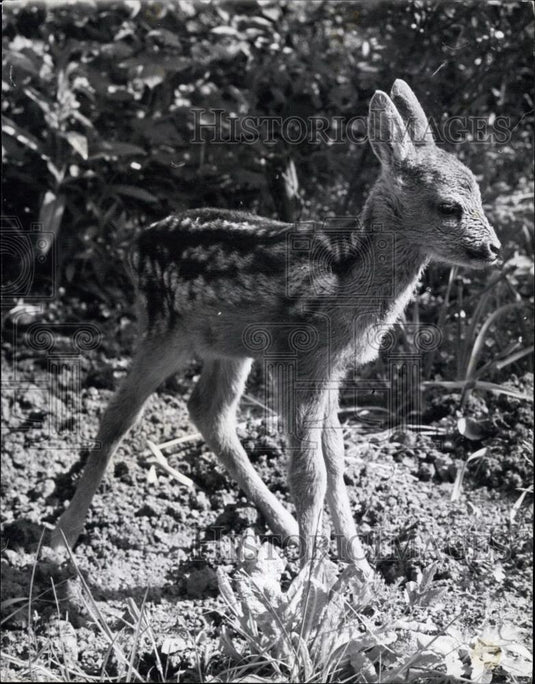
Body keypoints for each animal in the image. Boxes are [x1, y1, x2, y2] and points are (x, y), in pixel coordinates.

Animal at [50, 81, 500, 578]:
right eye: (448, 207)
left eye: (479, 195)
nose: (493, 248)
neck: (345, 279)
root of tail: (133, 247)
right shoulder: (297, 357)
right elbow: (310, 473)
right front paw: (308, 576)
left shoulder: (329, 369)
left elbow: (335, 462)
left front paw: (360, 571)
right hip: (162, 328)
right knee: (117, 416)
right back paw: (60, 541)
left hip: (228, 346)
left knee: (208, 411)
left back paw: (281, 525)